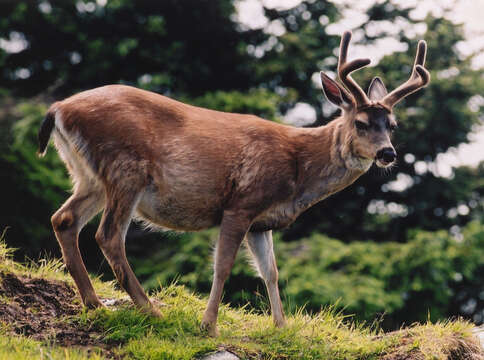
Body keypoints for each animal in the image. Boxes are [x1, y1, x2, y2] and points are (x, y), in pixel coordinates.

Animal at [38, 31, 432, 338]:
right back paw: (151, 311)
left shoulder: (262, 221)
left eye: (392, 125)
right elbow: (223, 265)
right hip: (125, 169)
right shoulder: (242, 201)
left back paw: (94, 304)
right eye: (362, 123)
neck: (298, 170)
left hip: (89, 176)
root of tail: (58, 109)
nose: (387, 153)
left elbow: (271, 272)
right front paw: (208, 326)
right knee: (107, 235)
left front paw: (281, 328)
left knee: (64, 219)